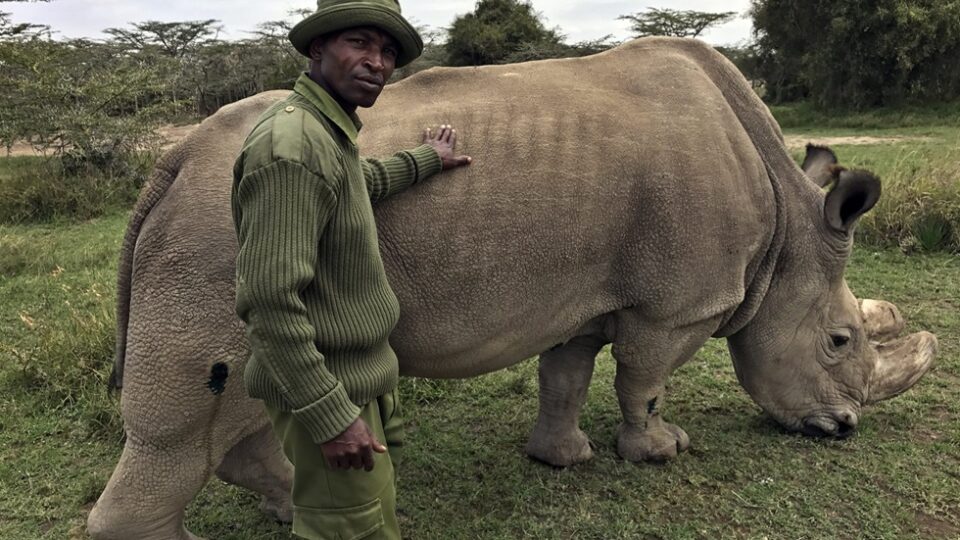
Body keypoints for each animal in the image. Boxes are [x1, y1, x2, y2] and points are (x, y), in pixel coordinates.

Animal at [88, 37, 938, 540]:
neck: (788, 234)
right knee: (190, 419)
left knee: (251, 406)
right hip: (214, 240)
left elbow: (566, 374)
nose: (843, 428)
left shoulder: (587, 291)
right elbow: (645, 380)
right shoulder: (676, 305)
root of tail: (172, 163)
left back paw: (298, 500)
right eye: (839, 341)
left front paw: (562, 458)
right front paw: (660, 451)